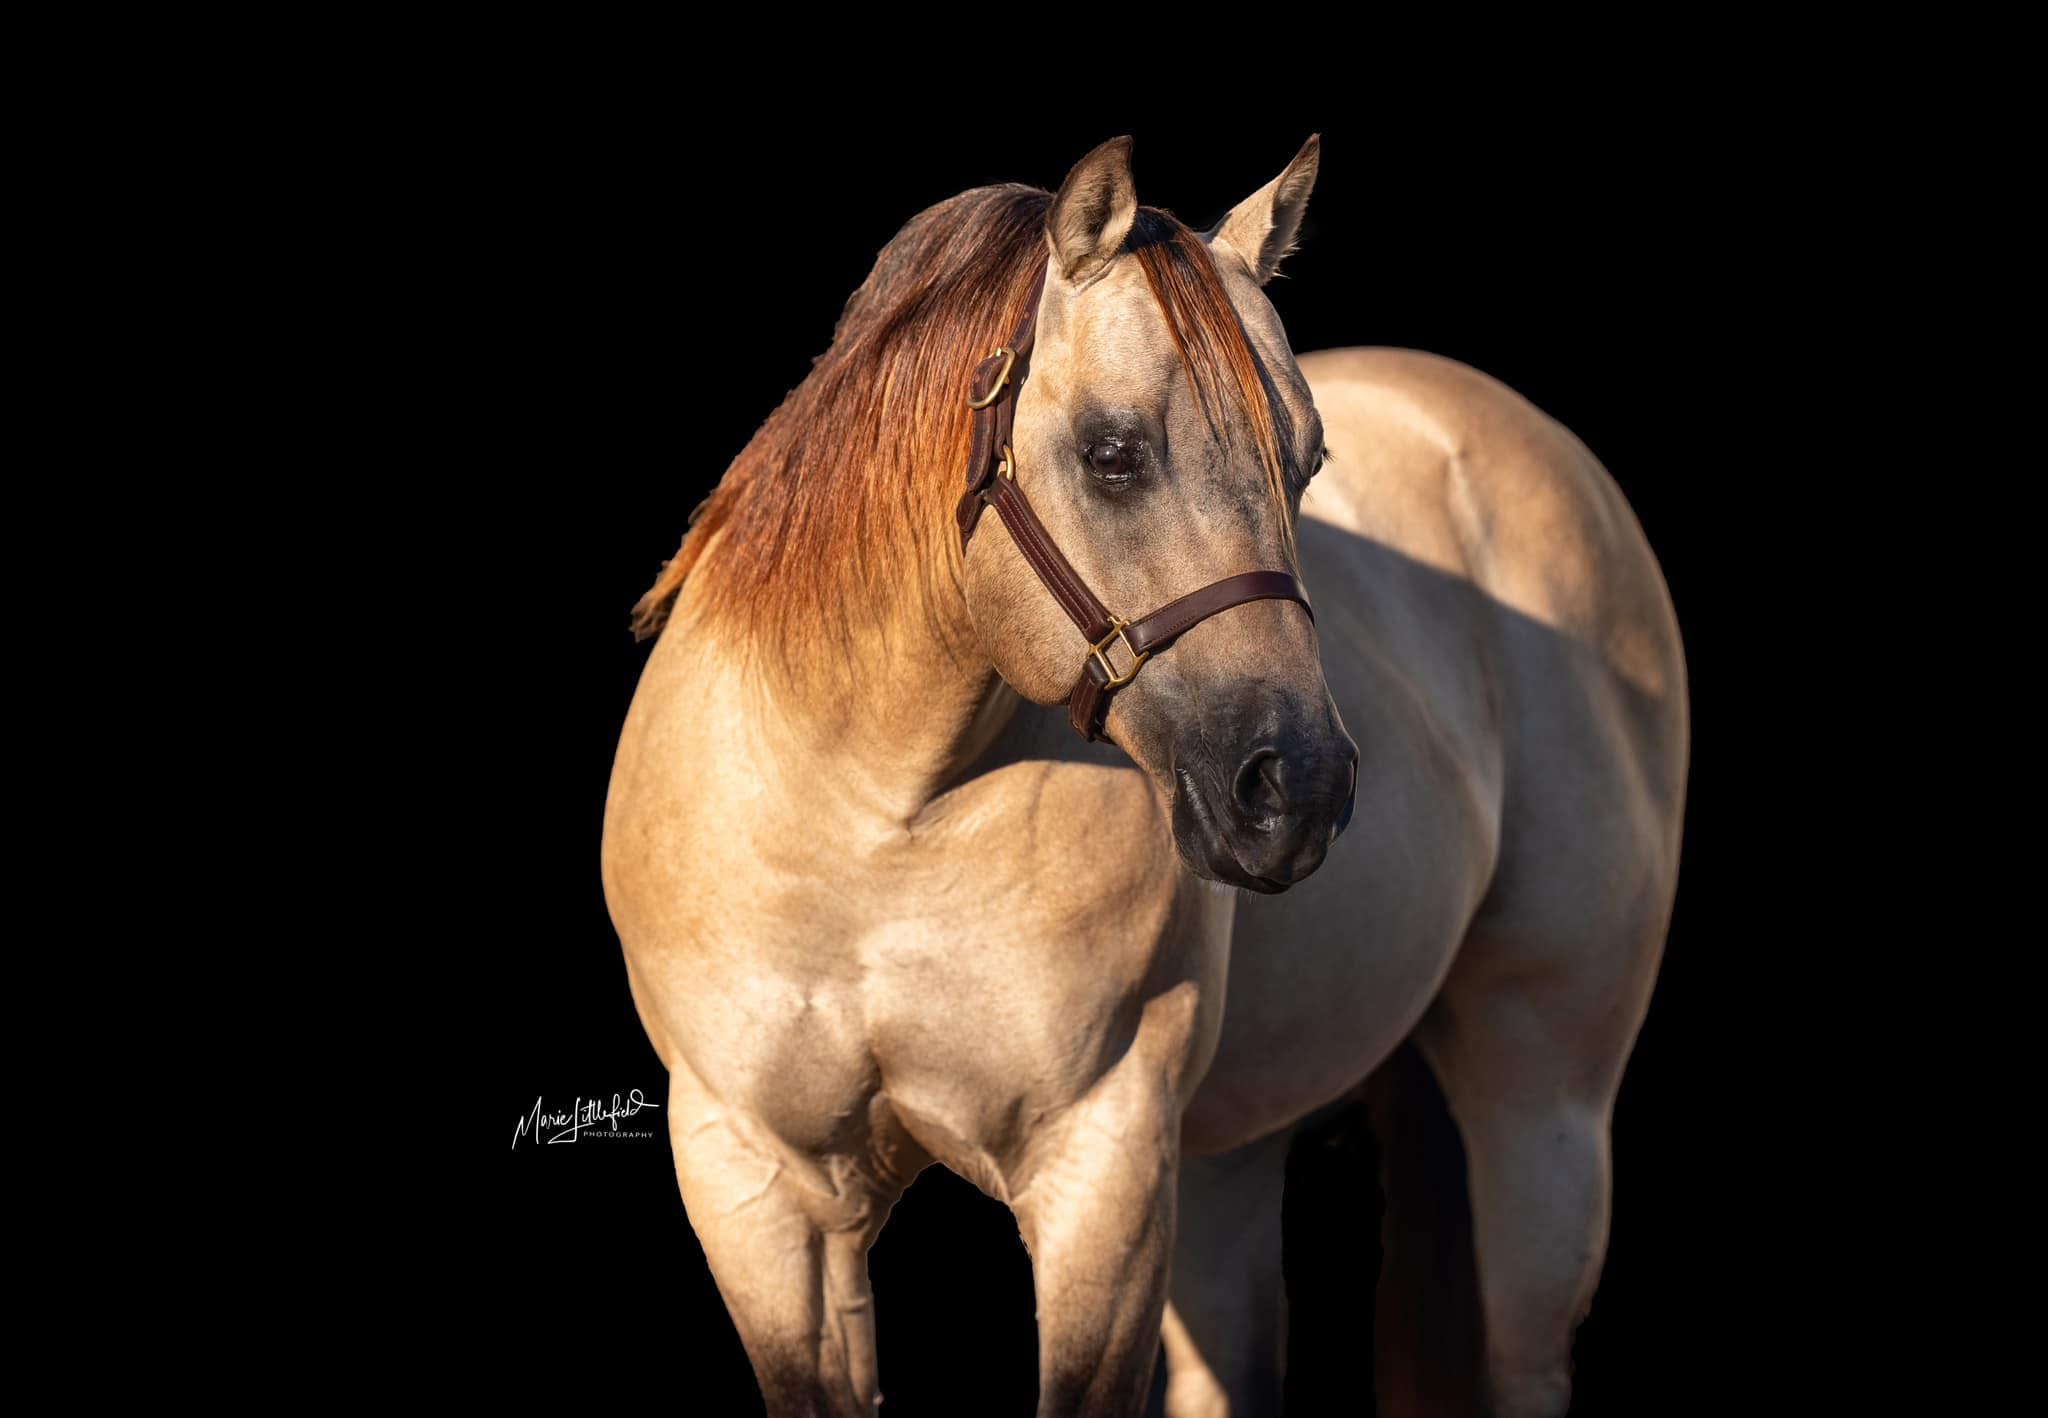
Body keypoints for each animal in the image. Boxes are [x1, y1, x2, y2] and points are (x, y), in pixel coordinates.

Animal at [600, 135, 1688, 1417]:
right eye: (1112, 454)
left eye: (1306, 464)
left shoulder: (1102, 1168)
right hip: (1223, 1158)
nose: (1295, 788)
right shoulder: (759, 1190)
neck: (878, 822)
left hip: (1542, 1108)